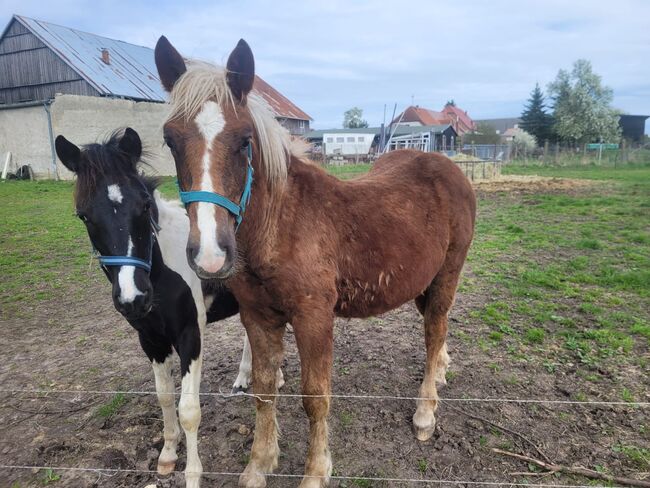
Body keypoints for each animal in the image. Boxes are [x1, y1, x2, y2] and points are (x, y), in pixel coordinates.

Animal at [53, 127, 270, 486]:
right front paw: (167, 455)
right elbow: (165, 396)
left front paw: (193, 475)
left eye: (143, 205)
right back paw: (243, 379)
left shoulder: (190, 335)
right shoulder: (150, 338)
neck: (164, 268)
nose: (133, 298)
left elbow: (189, 410)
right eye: (83, 215)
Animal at [154, 36, 474, 486]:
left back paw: (426, 413)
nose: (210, 256)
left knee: (434, 331)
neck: (280, 226)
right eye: (170, 140)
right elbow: (264, 389)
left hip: (447, 274)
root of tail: (448, 166)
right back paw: (442, 373)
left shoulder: (314, 318)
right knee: (437, 330)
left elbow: (315, 398)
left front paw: (315, 472)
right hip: (420, 281)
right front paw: (259, 464)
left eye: (245, 140)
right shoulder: (258, 318)